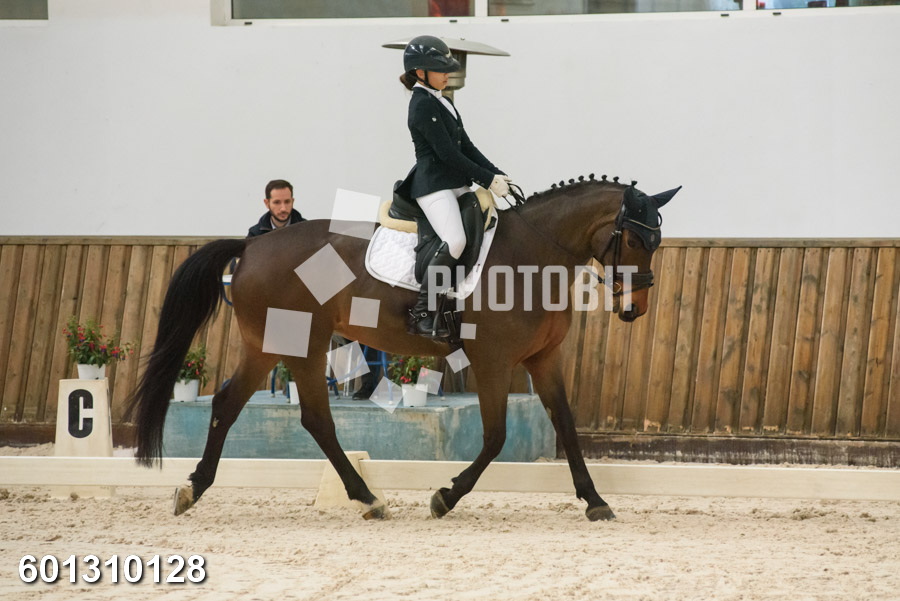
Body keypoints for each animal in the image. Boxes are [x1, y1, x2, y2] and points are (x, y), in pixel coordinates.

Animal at [127, 175, 679, 521]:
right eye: (635, 241)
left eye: (657, 243)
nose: (635, 309)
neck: (532, 255)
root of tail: (253, 245)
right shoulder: (493, 360)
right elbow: (496, 437)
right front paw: (445, 497)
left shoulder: (542, 359)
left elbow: (565, 425)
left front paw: (594, 500)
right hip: (301, 345)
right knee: (311, 418)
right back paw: (368, 499)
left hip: (271, 345)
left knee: (235, 404)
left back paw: (194, 488)